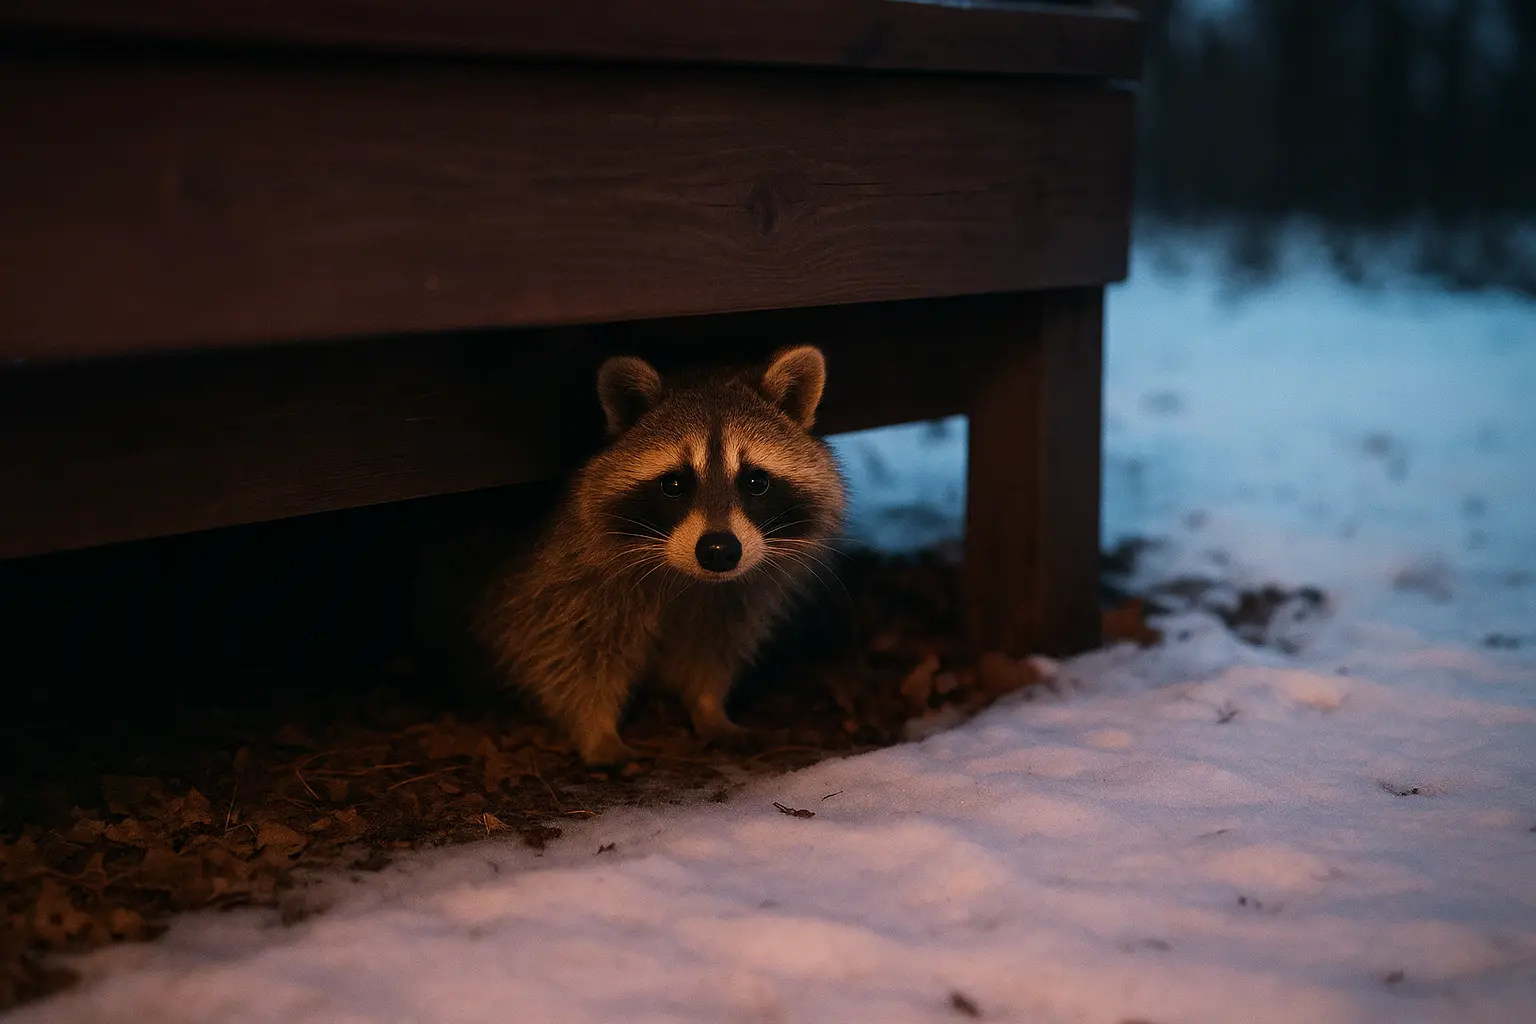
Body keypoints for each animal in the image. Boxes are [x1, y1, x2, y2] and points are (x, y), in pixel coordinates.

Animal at [471, 345, 847, 765]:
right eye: (673, 484)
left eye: (755, 481)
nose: (719, 551)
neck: (688, 578)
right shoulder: (558, 578)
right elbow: (559, 650)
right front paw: (595, 728)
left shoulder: (730, 596)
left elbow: (712, 643)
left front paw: (708, 705)